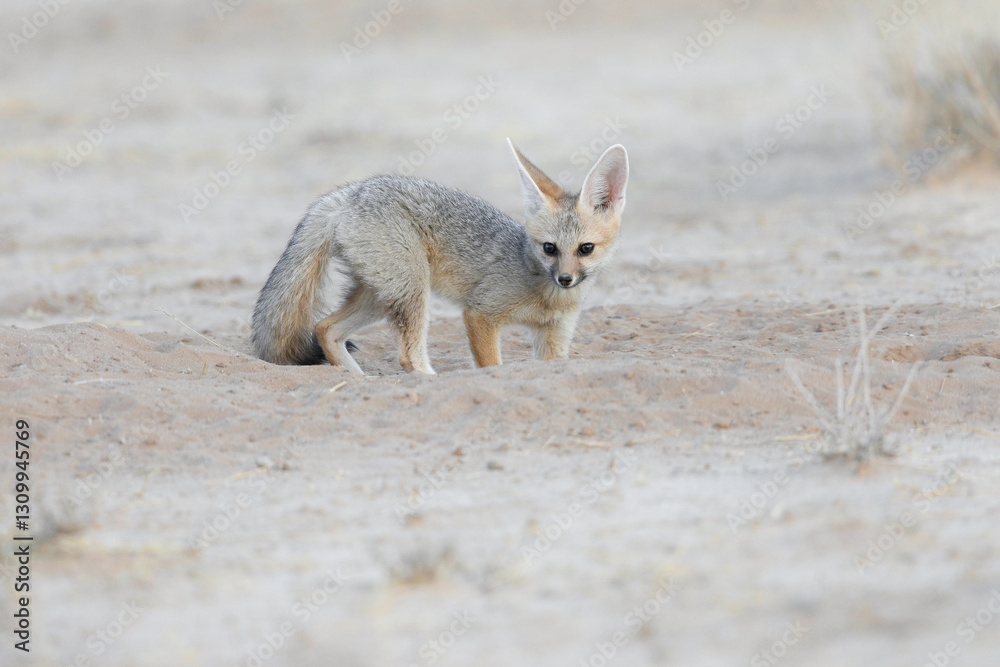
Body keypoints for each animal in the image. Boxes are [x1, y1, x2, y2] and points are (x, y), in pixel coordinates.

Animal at [250, 139, 629, 375]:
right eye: (549, 248)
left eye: (585, 249)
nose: (565, 279)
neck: (548, 295)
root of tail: (350, 192)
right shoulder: (480, 314)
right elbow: (492, 366)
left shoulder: (554, 336)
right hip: (413, 289)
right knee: (408, 356)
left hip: (380, 295)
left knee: (325, 328)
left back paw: (358, 380)